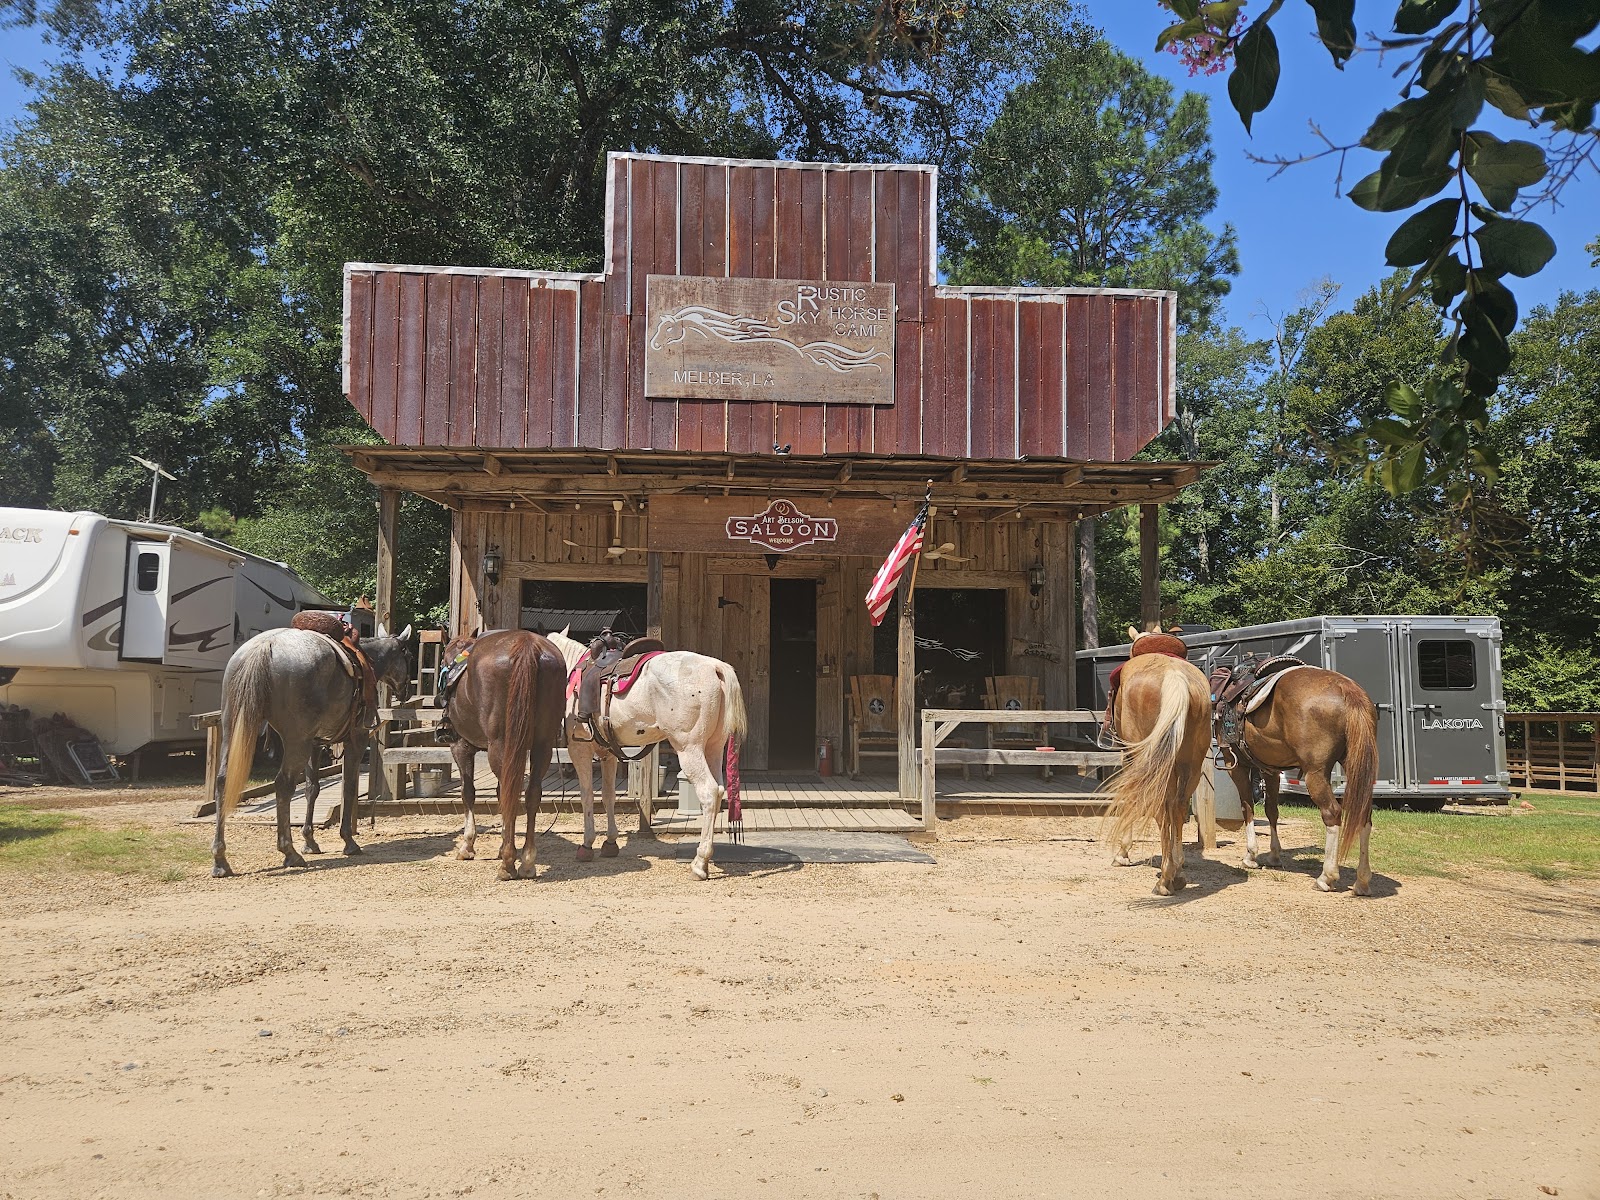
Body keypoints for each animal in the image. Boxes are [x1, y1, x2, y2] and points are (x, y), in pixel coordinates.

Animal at [212, 625, 414, 878]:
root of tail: (265, 646)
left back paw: (220, 860)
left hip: (234, 727)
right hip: (296, 741)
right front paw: (348, 841)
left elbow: (312, 788)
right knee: (284, 784)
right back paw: (289, 852)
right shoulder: (355, 740)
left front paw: (309, 841)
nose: (407, 691)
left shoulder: (315, 745)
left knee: (223, 780)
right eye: (409, 655)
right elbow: (349, 786)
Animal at [442, 630, 567, 882]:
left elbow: (468, 793)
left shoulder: (460, 747)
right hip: (542, 746)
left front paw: (467, 846)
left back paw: (508, 864)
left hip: (500, 744)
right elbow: (501, 793)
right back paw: (527, 861)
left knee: (511, 794)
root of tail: (527, 644)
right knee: (530, 794)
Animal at [545, 629, 747, 882]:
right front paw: (610, 842)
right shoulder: (608, 755)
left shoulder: (579, 750)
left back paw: (700, 863)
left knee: (709, 792)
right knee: (719, 790)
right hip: (713, 747)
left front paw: (587, 845)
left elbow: (587, 796)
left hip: (689, 748)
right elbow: (608, 796)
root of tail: (714, 667)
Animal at [1101, 629, 1213, 896]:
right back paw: (1177, 872)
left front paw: (1122, 854)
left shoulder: (1130, 759)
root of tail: (1174, 676)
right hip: (1191, 765)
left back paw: (1165, 879)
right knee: (1178, 806)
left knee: (1163, 808)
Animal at [1223, 666, 1378, 895]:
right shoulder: (1270, 769)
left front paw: (1250, 855)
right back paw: (1362, 881)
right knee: (1363, 815)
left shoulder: (1236, 766)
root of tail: (1347, 688)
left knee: (1332, 813)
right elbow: (1271, 810)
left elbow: (1247, 807)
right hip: (1356, 766)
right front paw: (1274, 856)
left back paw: (1326, 877)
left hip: (1316, 774)